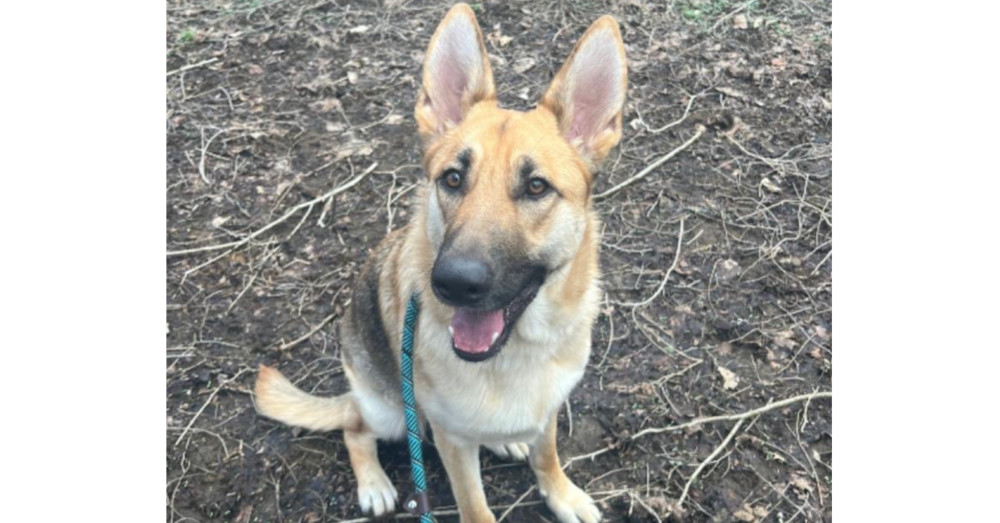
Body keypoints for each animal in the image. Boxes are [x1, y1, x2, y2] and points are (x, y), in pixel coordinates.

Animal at [254, 5, 624, 523]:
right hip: (388, 411)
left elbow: (547, 453)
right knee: (352, 424)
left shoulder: (548, 407)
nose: (455, 283)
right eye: (452, 179)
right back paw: (374, 483)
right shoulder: (452, 442)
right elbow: (474, 505)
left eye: (536, 187)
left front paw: (560, 492)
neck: (516, 351)